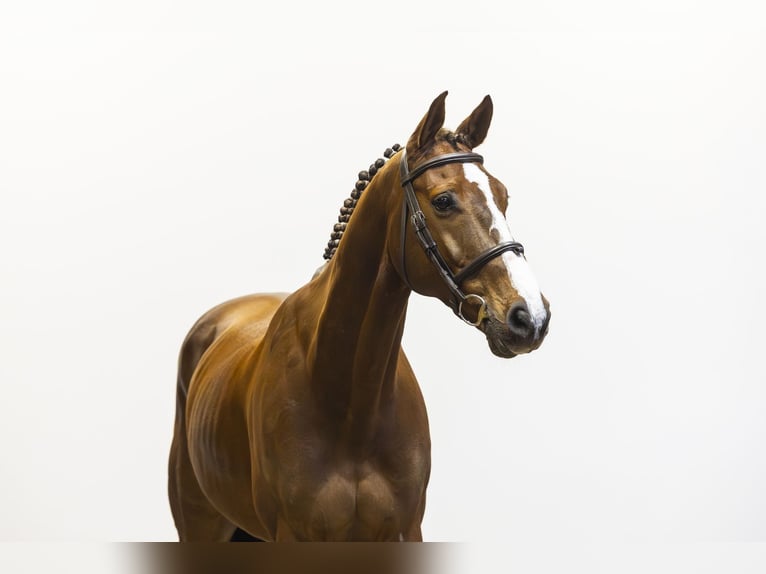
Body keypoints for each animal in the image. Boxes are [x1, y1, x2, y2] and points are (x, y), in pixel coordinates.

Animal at [168, 91, 551, 542]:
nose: (530, 317)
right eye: (443, 200)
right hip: (200, 525)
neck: (350, 405)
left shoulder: (406, 530)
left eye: (503, 196)